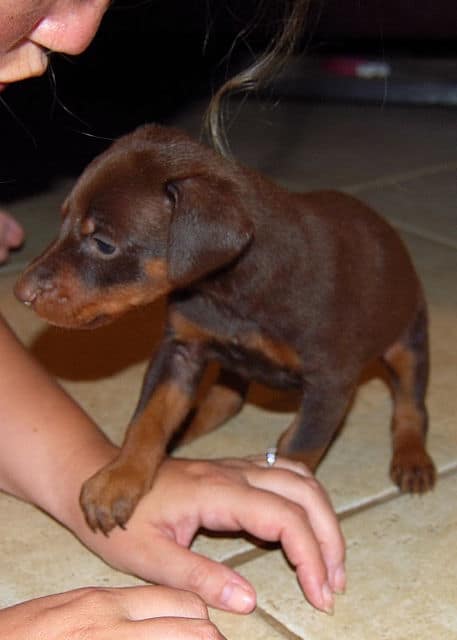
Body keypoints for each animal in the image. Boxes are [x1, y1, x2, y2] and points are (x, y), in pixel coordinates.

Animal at [15, 125, 434, 536]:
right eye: (63, 220)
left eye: (103, 243)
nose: (21, 292)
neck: (228, 290)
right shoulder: (181, 348)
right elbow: (148, 418)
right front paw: (119, 477)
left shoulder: (331, 381)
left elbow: (300, 447)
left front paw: (287, 493)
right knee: (225, 399)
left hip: (407, 336)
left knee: (411, 403)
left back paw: (412, 458)